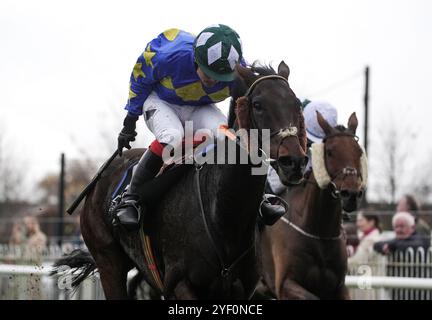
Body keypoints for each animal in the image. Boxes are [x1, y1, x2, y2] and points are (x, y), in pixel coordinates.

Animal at [52, 62, 308, 300]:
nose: (294, 161)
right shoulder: (180, 283)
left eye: (296, 104)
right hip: (108, 261)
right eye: (258, 105)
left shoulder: (243, 289)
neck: (223, 215)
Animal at [258, 112, 366, 300]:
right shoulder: (285, 284)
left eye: (359, 152)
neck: (319, 233)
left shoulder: (339, 287)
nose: (351, 194)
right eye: (330, 152)